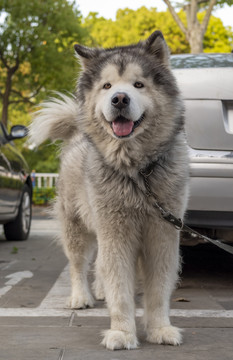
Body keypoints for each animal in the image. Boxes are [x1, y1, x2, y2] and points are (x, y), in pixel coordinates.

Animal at [29, 31, 189, 352]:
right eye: (107, 86)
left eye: (138, 84)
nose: (119, 98)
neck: (138, 173)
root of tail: (77, 135)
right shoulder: (116, 232)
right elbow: (120, 289)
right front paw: (123, 333)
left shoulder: (162, 234)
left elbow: (157, 290)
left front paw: (159, 328)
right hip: (78, 228)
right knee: (79, 265)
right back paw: (81, 297)